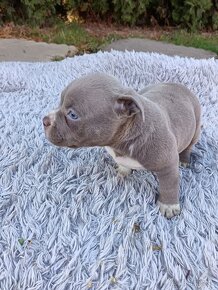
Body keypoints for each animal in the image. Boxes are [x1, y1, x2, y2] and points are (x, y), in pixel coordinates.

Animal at [43, 72, 202, 218]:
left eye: (72, 115)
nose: (45, 120)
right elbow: (123, 164)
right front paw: (123, 170)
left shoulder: (168, 164)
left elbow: (169, 185)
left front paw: (169, 206)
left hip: (196, 126)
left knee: (189, 145)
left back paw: (185, 159)